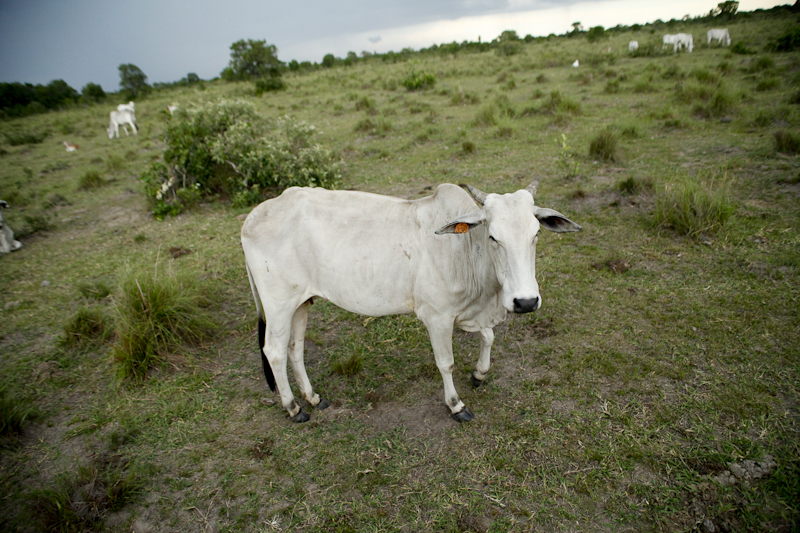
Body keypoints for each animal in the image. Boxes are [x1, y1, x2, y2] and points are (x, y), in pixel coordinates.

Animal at [241, 181, 584, 422]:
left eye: (536, 233)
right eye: (493, 236)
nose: (526, 301)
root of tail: (254, 216)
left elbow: (488, 337)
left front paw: (479, 374)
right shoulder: (437, 317)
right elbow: (446, 362)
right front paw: (456, 405)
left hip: (302, 302)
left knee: (295, 349)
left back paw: (312, 397)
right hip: (279, 304)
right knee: (274, 352)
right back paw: (293, 408)